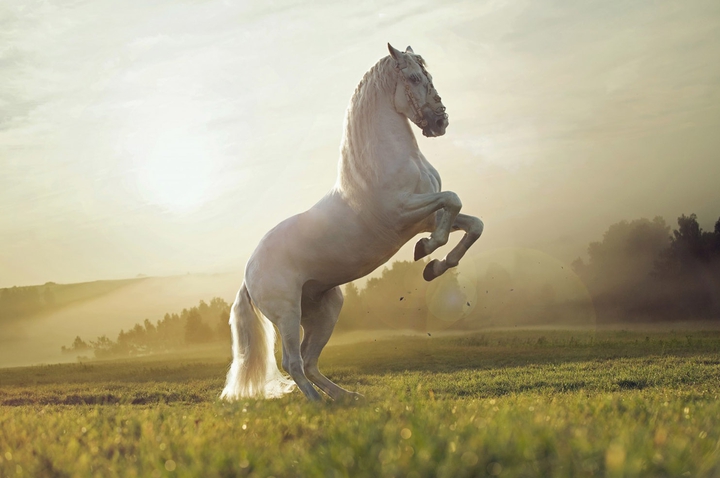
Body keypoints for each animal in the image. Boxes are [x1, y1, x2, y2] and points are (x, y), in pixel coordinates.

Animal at [221, 44, 484, 402]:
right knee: (293, 362)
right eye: (415, 78)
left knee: (310, 361)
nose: (440, 121)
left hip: (326, 309)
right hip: (287, 314)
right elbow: (453, 202)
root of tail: (249, 273)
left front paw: (435, 266)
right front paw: (426, 252)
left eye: (428, 75)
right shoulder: (404, 213)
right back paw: (319, 405)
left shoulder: (425, 217)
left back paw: (348, 398)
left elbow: (472, 223)